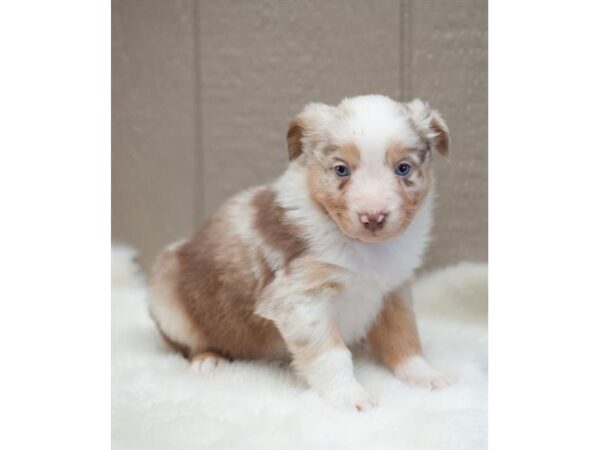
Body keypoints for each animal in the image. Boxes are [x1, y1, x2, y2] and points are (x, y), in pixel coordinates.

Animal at [149, 95, 450, 412]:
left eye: (403, 168)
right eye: (341, 170)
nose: (373, 218)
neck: (365, 249)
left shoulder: (394, 291)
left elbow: (405, 337)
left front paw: (424, 376)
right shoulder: (301, 299)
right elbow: (332, 356)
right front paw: (350, 396)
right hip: (166, 293)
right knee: (190, 343)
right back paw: (208, 360)